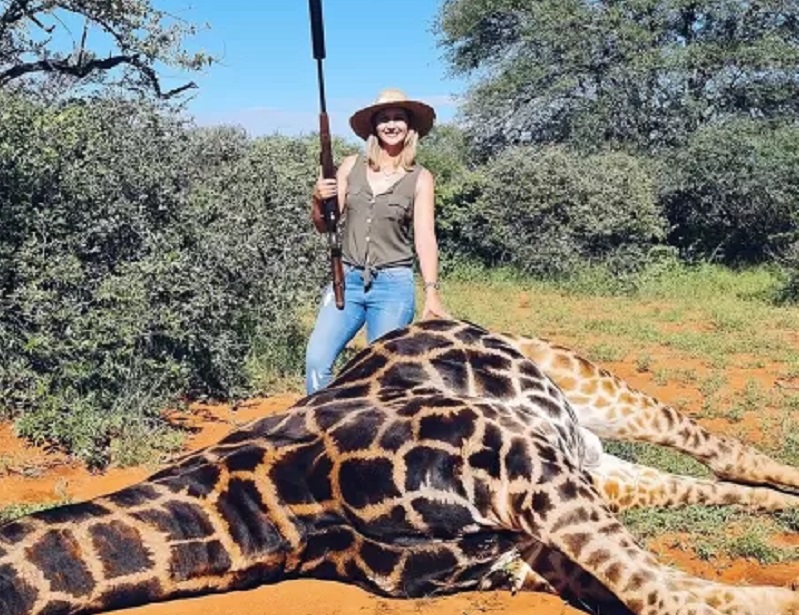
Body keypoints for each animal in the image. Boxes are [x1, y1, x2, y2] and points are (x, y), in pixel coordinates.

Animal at [1, 320, 799, 615]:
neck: (270, 512)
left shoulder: (524, 466)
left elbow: (660, 594)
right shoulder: (514, 552)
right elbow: (663, 591)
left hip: (582, 383)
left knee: (720, 450)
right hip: (596, 463)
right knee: (702, 485)